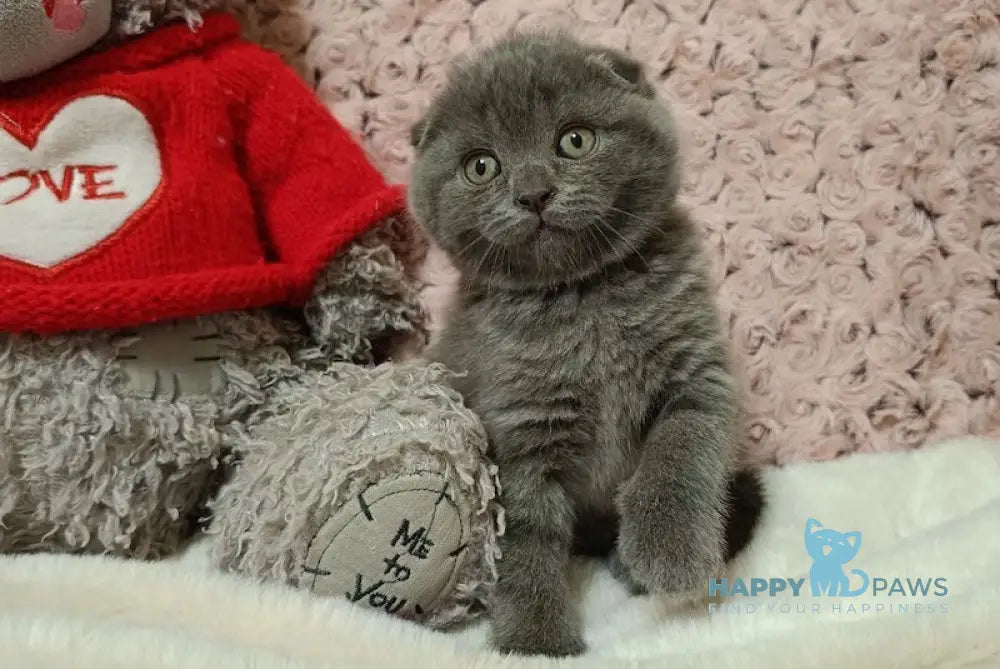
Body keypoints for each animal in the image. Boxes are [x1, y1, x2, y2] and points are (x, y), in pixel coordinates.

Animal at [406, 34, 764, 656]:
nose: (533, 193)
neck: (584, 301)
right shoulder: (518, 429)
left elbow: (681, 451)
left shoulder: (696, 371)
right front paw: (536, 642)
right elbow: (524, 539)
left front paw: (669, 551)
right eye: (481, 166)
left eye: (575, 139)